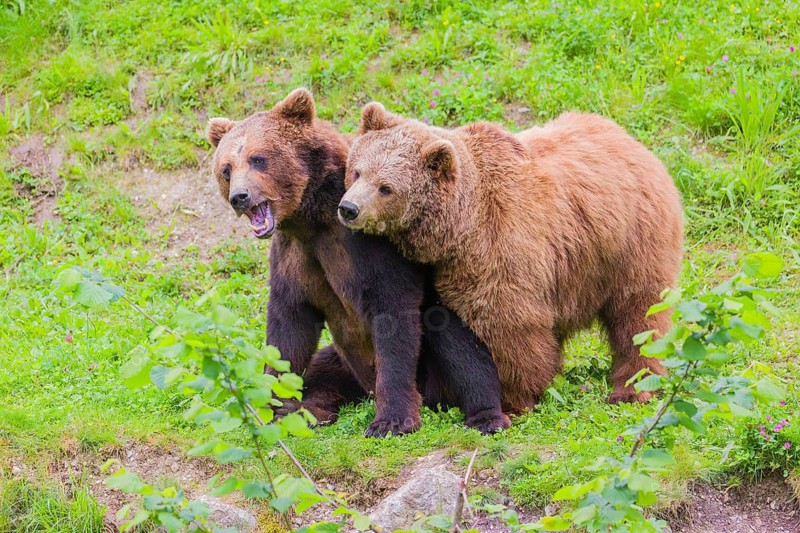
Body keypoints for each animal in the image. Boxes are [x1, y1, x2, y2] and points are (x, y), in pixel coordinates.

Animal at [205, 88, 510, 437]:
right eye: (226, 169)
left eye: (258, 159)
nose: (240, 196)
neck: (313, 220)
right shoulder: (293, 257)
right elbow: (289, 329)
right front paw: (274, 405)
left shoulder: (369, 249)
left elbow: (393, 316)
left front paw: (391, 420)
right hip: (342, 361)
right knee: (321, 372)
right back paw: (311, 410)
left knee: (456, 343)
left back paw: (487, 416)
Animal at [338, 104, 684, 413]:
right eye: (357, 171)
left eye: (386, 188)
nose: (349, 208)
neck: (457, 229)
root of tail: (633, 142)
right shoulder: (445, 269)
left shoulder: (501, 246)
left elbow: (509, 324)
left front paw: (513, 398)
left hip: (630, 244)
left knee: (638, 315)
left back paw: (632, 387)